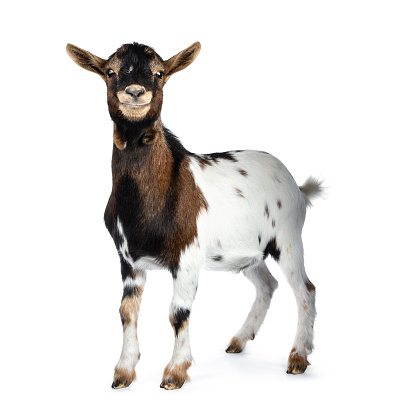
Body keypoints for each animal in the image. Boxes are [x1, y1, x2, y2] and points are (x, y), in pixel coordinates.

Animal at [66, 41, 324, 390]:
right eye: (110, 71)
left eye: (159, 73)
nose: (134, 92)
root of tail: (297, 187)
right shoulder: (128, 259)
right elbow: (127, 311)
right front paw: (123, 372)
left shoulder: (187, 255)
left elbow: (179, 312)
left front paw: (175, 372)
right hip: (248, 253)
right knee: (267, 285)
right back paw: (239, 340)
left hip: (287, 239)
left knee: (305, 289)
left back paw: (298, 357)